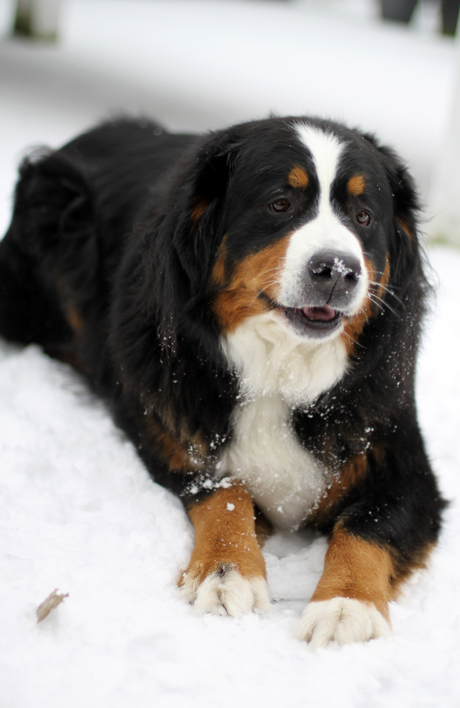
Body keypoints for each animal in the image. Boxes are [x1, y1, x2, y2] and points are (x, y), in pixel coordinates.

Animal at [0, 115, 446, 648]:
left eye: (363, 217)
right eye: (280, 204)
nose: (338, 270)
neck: (279, 371)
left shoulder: (401, 460)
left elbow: (368, 524)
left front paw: (345, 604)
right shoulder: (172, 432)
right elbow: (225, 494)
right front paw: (225, 573)